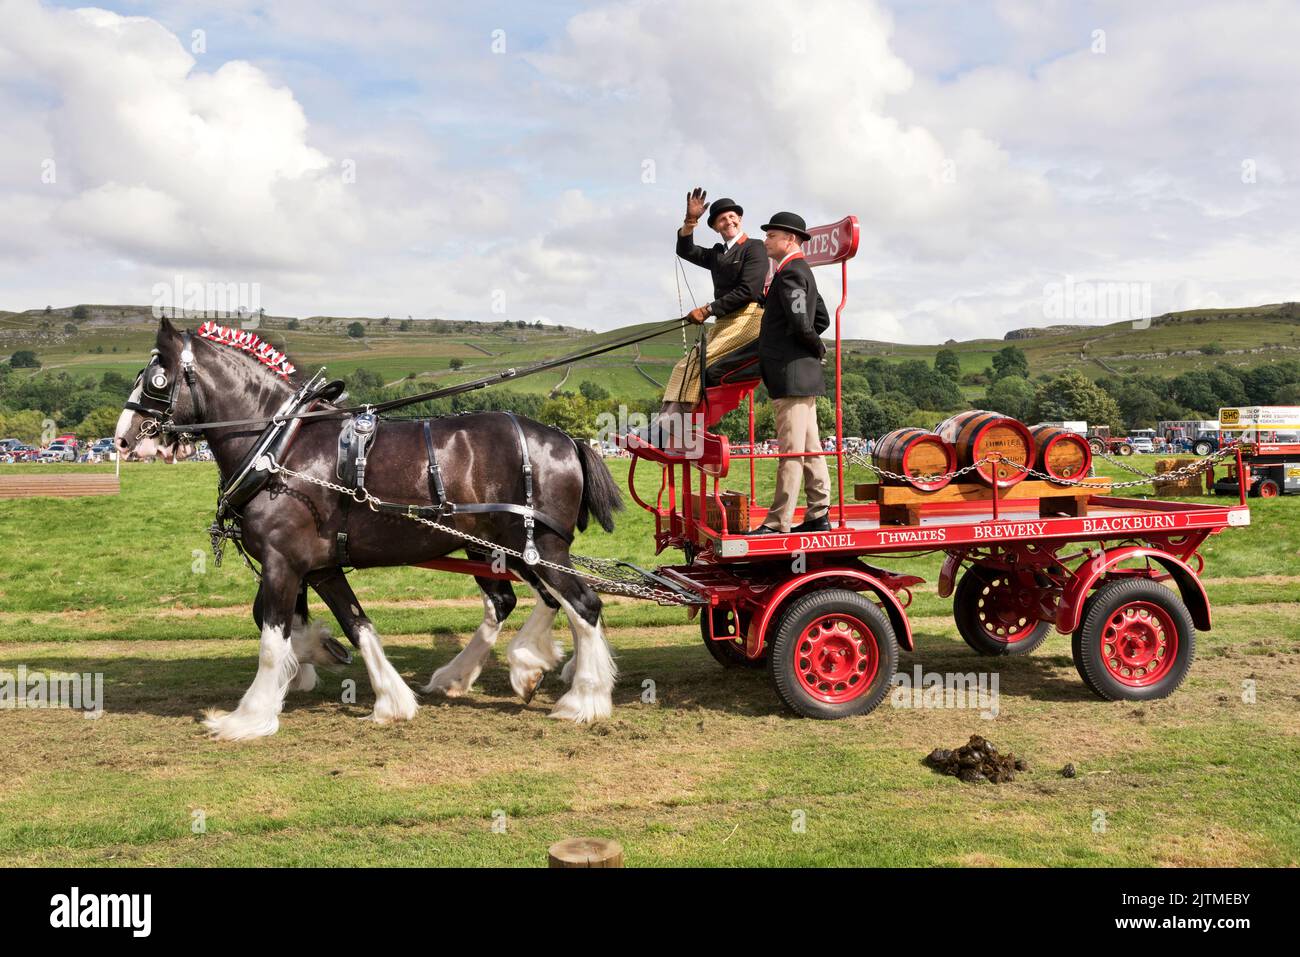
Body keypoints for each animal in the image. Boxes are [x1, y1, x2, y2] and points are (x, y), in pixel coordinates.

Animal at [113, 317, 624, 738]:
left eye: (156, 378)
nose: (121, 437)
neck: (279, 445)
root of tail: (565, 438)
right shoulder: (319, 567)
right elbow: (354, 624)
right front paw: (378, 692)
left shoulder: (282, 561)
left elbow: (271, 636)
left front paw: (250, 715)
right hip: (500, 547)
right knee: (524, 601)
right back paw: (493, 670)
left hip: (537, 546)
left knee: (582, 604)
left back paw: (582, 697)